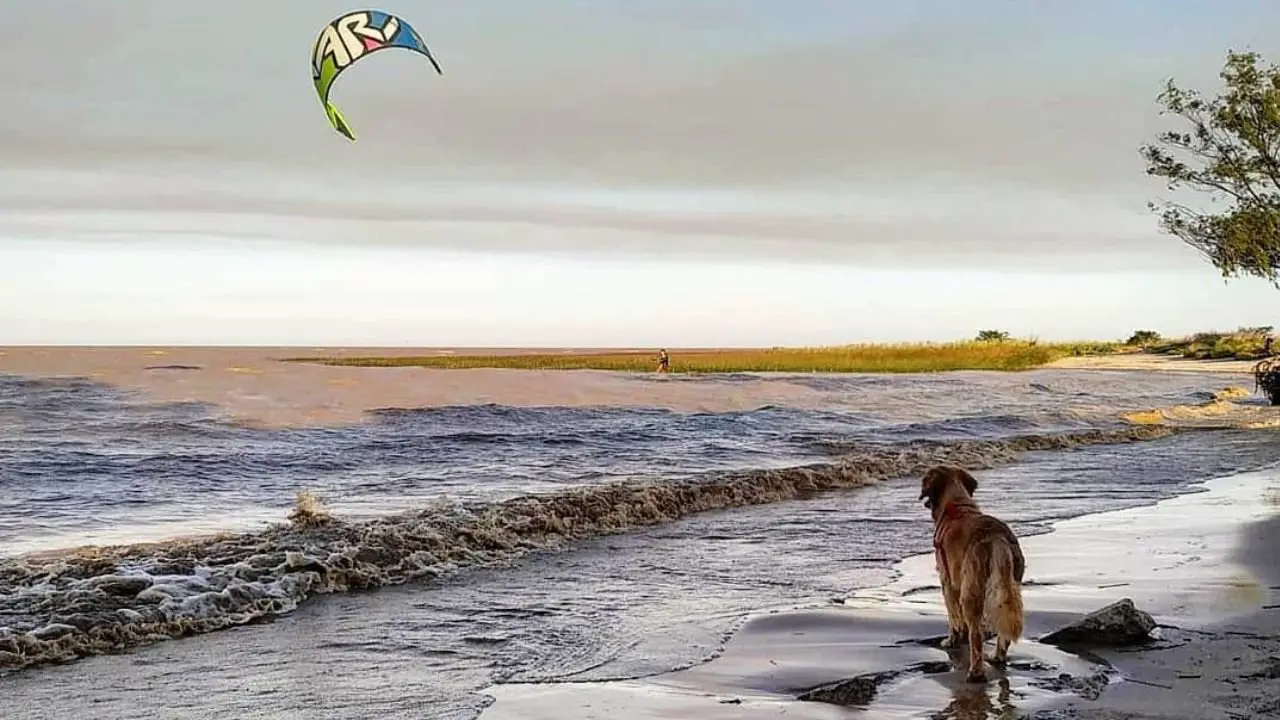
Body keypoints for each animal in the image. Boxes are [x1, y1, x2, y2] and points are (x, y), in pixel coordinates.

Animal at [921, 466, 1029, 676]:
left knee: (976, 633)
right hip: (1012, 579)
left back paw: (975, 672)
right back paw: (996, 657)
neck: (956, 503)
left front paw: (952, 640)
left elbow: (953, 617)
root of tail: (996, 536)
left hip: (971, 586)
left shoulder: (947, 581)